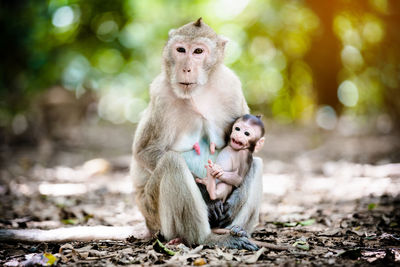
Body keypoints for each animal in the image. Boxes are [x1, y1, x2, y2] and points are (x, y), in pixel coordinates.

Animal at [130, 17, 264, 250]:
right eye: (181, 50)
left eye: (198, 51)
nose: (186, 68)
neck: (198, 93)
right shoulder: (161, 94)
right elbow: (145, 151)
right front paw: (206, 197)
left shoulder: (231, 86)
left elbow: (248, 152)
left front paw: (233, 198)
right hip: (154, 213)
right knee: (171, 162)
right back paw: (208, 239)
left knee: (256, 163)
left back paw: (236, 231)